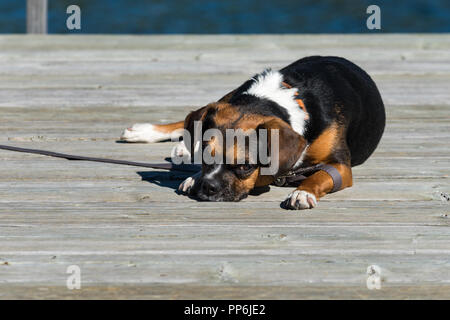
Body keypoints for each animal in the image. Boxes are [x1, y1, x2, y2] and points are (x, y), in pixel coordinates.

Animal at [120, 56, 386, 209]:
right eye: (206, 157)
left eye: (245, 166)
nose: (208, 187)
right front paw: (194, 175)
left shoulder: (340, 166)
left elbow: (318, 176)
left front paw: (302, 192)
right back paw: (147, 132)